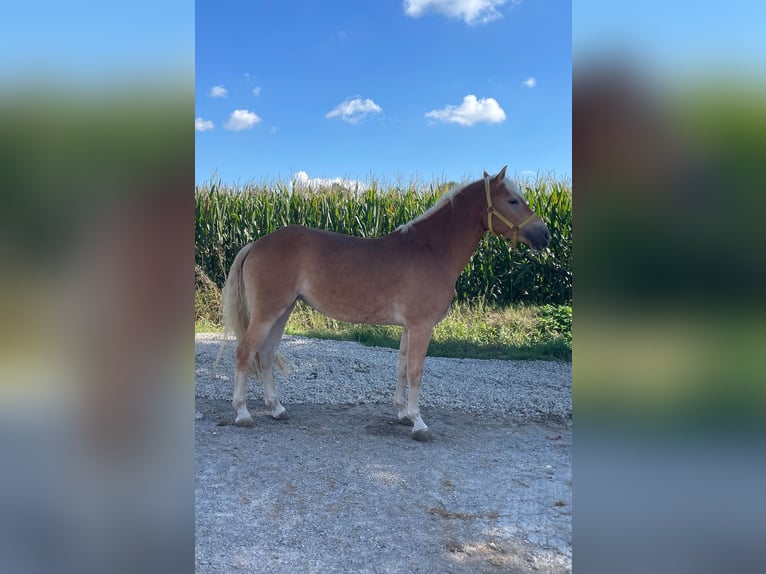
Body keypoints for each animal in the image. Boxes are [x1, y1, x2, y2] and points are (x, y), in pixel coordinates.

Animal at [222, 164, 552, 444]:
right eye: (512, 200)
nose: (545, 235)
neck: (431, 250)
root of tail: (256, 244)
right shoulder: (422, 326)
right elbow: (416, 371)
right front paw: (419, 423)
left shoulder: (410, 327)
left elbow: (403, 367)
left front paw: (403, 413)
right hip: (268, 313)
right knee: (244, 353)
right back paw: (243, 413)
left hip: (282, 311)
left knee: (265, 355)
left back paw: (277, 408)